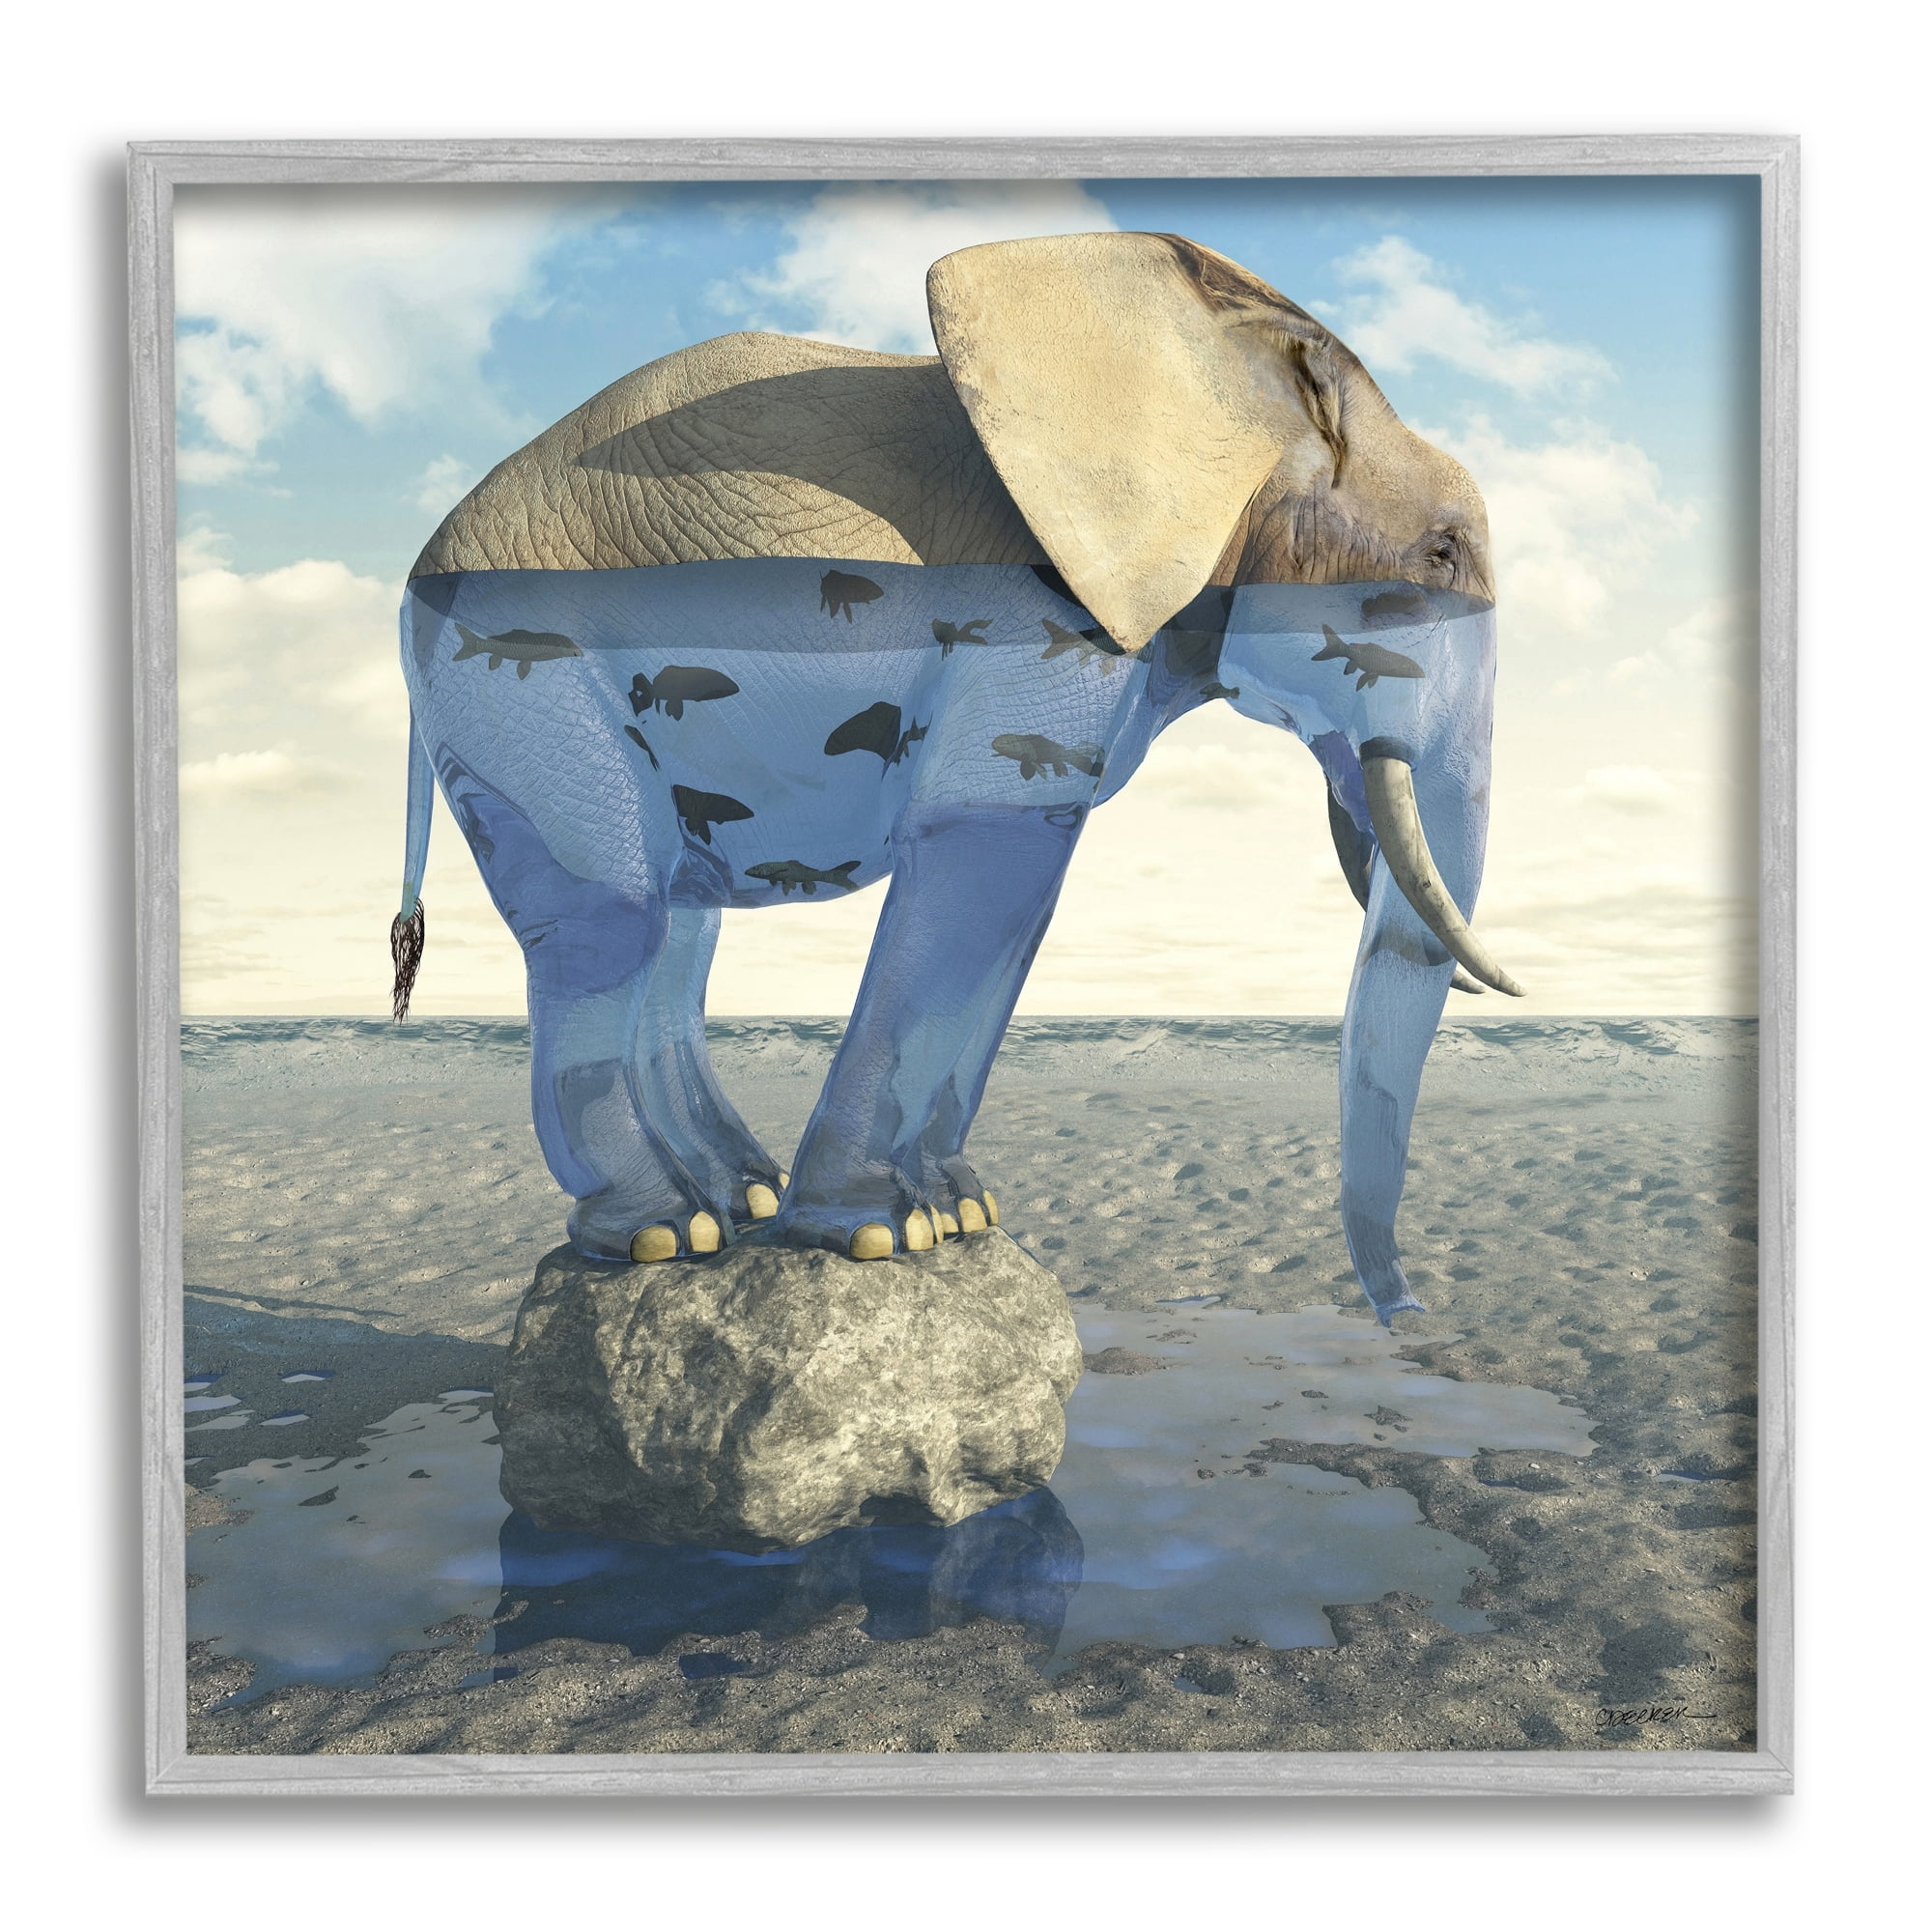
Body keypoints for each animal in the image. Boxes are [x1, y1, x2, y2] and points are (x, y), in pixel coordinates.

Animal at [393, 230, 1521, 1322]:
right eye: (1439, 554)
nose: (1407, 1313)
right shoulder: (1030, 618)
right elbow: (990, 854)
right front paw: (879, 1235)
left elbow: (1014, 893)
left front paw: (961, 1215)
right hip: (527, 695)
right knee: (613, 916)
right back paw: (664, 1233)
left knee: (678, 925)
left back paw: (734, 1201)